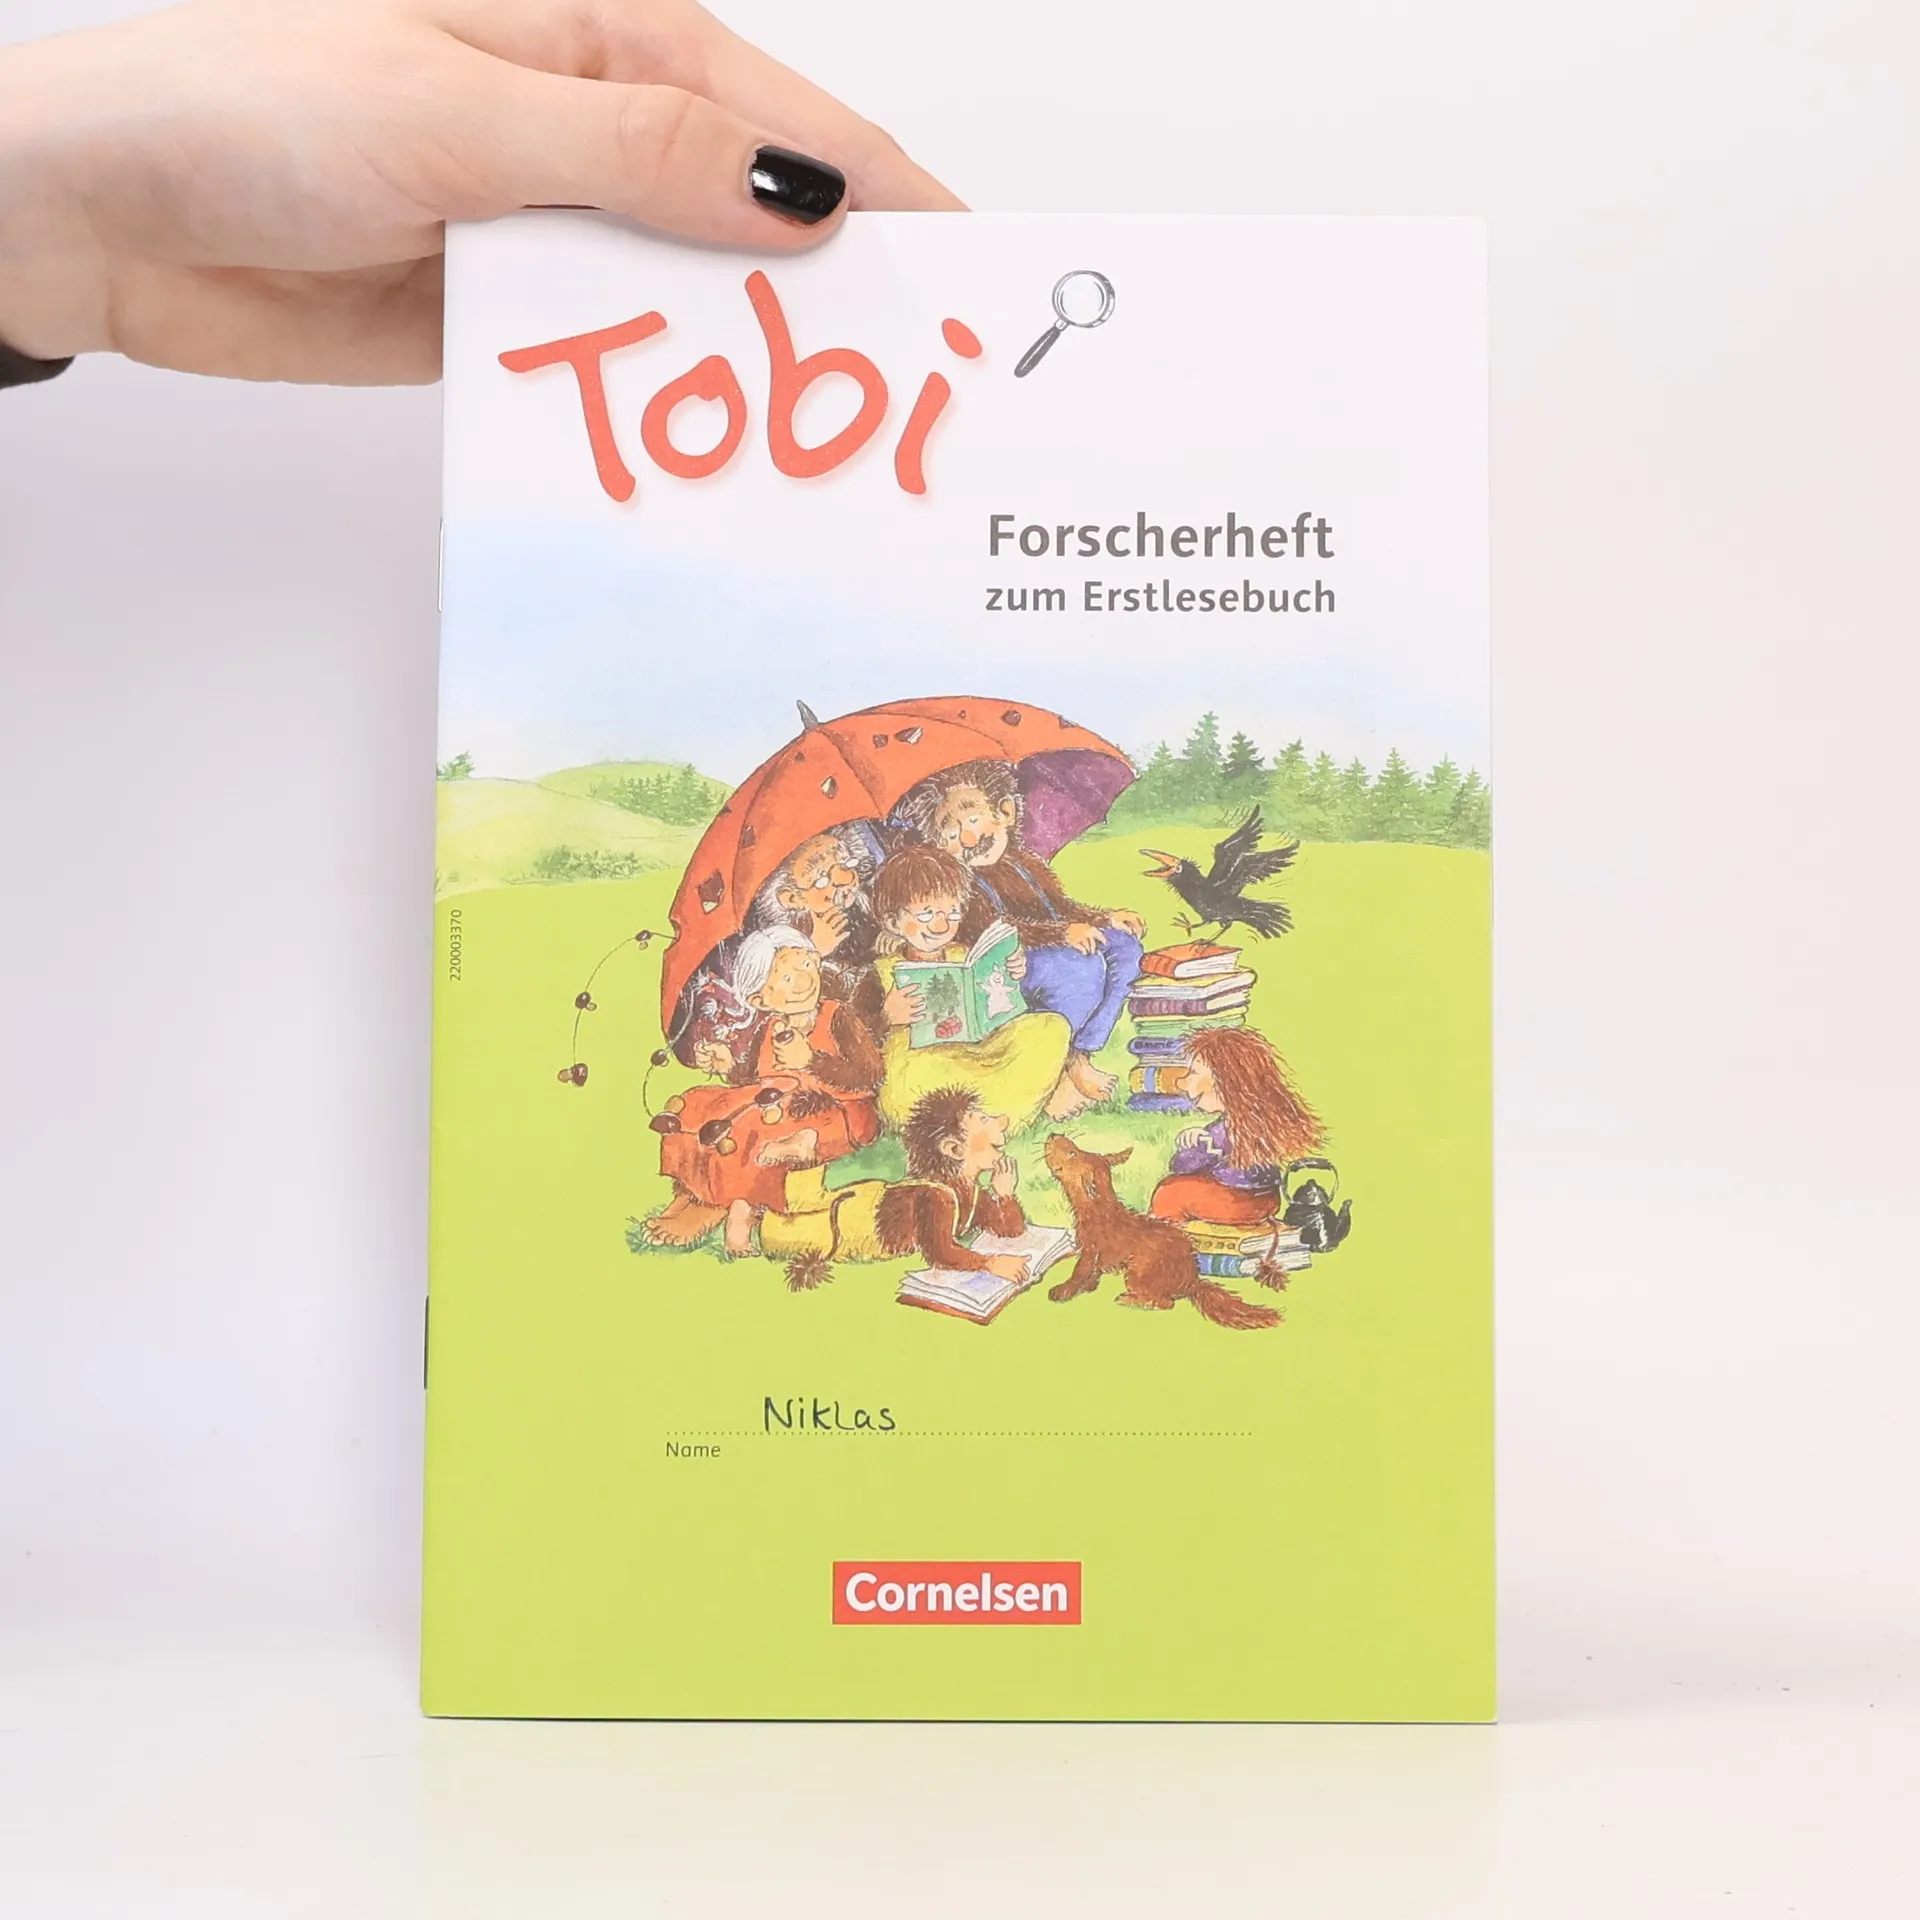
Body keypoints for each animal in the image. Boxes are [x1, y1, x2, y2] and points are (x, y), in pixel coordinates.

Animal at [1041, 1134, 1280, 1331]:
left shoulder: (1090, 1249)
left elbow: (1079, 1272)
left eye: (1072, 1152)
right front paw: (1089, 1286)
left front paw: (1061, 1291)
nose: (1052, 1134)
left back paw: (1130, 1300)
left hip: (1137, 1272)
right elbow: (1093, 1273)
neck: (1099, 1210)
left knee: (1166, 1303)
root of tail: (1191, 1282)